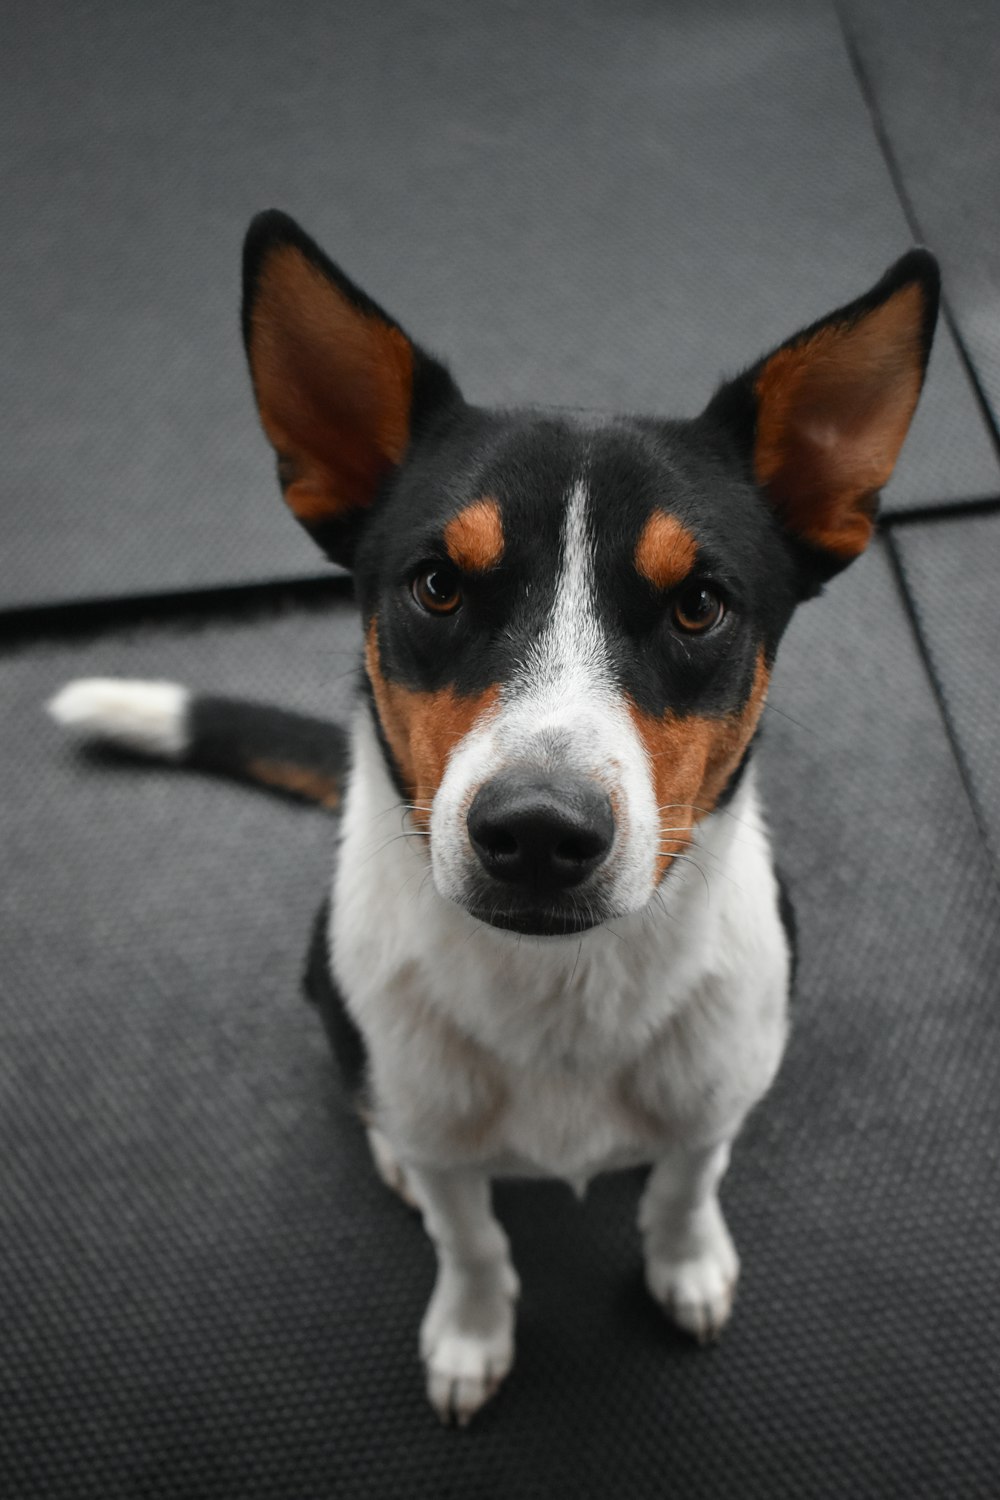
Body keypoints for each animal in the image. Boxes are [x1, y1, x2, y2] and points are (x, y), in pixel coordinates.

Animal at [48, 211, 941, 1416]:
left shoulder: (714, 1100)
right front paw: (471, 1333)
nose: (539, 833)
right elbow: (469, 1239)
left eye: (699, 605)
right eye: (437, 585)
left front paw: (686, 1262)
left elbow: (683, 1185)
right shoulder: (446, 1146)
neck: (561, 992)